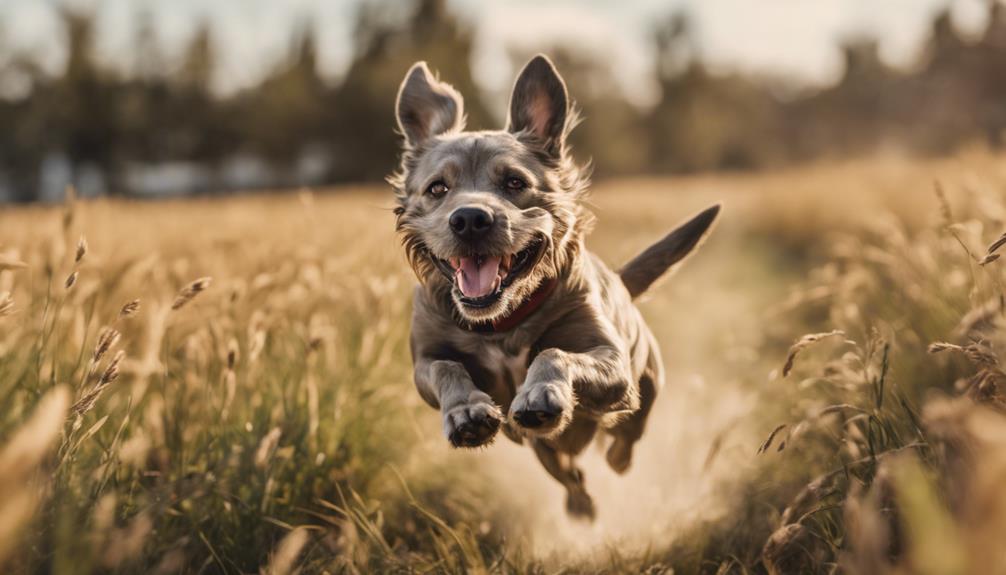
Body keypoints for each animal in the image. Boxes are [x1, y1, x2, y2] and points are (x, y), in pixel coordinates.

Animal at [388, 55, 720, 522]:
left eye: (514, 182)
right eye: (438, 188)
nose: (470, 219)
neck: (503, 322)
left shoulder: (612, 361)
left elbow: (554, 353)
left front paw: (540, 390)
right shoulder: (424, 361)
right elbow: (445, 367)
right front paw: (466, 410)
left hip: (644, 388)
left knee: (626, 438)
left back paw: (613, 460)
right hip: (541, 447)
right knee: (567, 472)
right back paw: (580, 503)